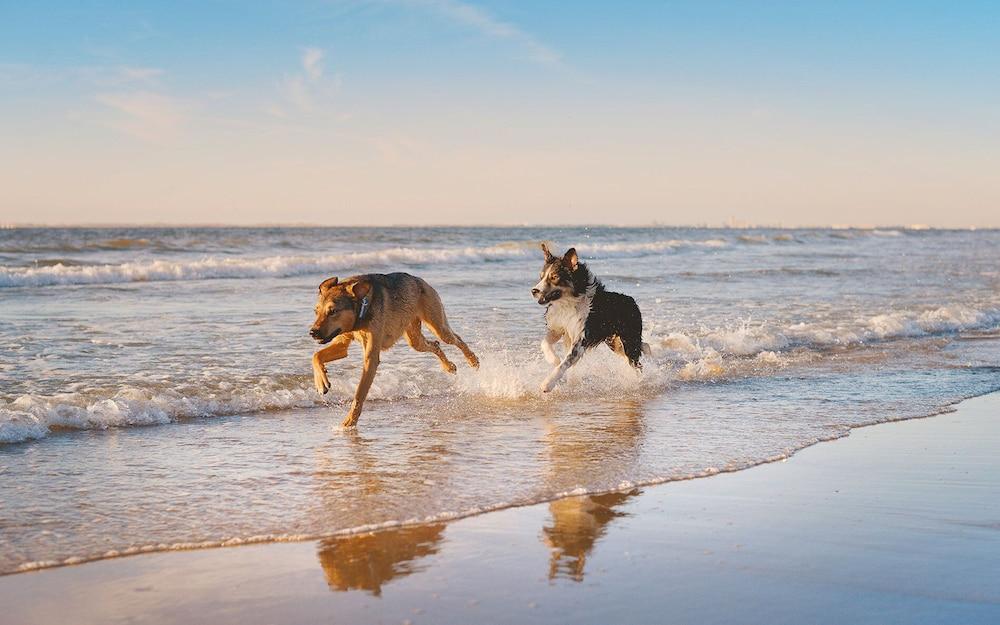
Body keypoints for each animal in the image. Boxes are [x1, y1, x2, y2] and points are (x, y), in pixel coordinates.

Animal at [308, 270, 480, 426]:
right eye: (316, 311)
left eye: (333, 311)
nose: (312, 332)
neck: (361, 311)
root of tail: (419, 280)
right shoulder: (342, 341)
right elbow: (316, 356)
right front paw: (321, 383)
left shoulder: (371, 358)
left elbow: (359, 394)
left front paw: (349, 422)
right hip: (414, 339)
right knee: (435, 345)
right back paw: (448, 366)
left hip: (438, 326)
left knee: (456, 339)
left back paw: (473, 360)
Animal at [532, 243, 648, 390]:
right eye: (541, 277)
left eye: (554, 277)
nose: (534, 291)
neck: (568, 302)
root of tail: (632, 301)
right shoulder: (558, 329)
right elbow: (545, 343)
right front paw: (554, 359)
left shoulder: (581, 338)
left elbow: (565, 363)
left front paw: (547, 384)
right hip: (614, 342)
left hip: (629, 340)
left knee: (636, 364)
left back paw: (637, 381)